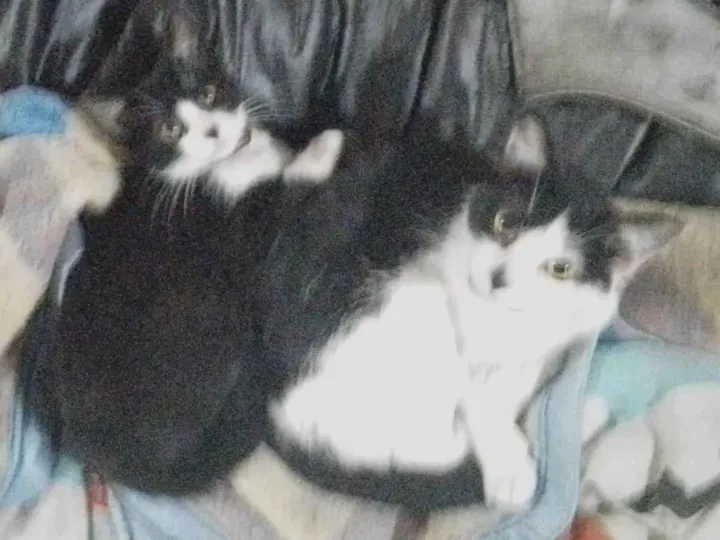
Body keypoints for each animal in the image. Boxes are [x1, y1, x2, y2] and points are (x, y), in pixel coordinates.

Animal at [256, 115, 680, 512]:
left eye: (561, 268)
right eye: (505, 223)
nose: (498, 277)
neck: (504, 318)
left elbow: (524, 366)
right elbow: (479, 396)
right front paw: (509, 462)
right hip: (407, 309)